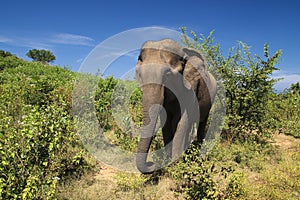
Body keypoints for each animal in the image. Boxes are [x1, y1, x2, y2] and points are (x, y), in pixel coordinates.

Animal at [134, 38, 216, 173]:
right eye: (140, 75)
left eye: (167, 75)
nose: (151, 163)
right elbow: (167, 123)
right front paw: (168, 163)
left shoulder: (191, 87)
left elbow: (181, 123)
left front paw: (176, 166)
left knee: (201, 123)